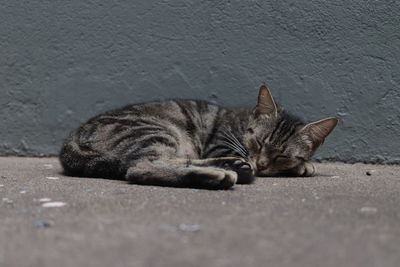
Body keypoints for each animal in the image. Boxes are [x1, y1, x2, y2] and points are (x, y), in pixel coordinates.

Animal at [60, 86, 338, 191]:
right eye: (258, 142)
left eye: (282, 155)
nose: (261, 164)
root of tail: (72, 138)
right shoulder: (220, 145)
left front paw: (304, 165)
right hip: (157, 132)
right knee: (140, 167)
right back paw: (219, 174)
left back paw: (233, 167)